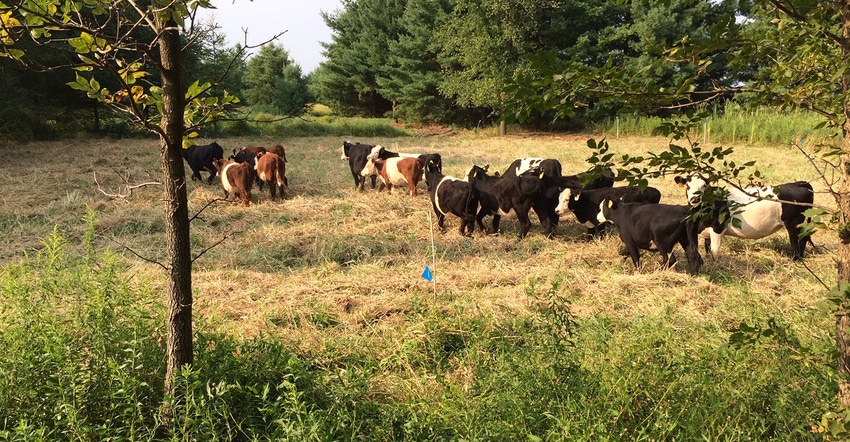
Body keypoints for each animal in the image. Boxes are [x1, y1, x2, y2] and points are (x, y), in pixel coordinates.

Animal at [672, 173, 812, 258]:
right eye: (687, 185)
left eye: (704, 185)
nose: (695, 199)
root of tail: (799, 183)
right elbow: (707, 248)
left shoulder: (718, 228)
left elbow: (714, 251)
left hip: (794, 224)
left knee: (796, 242)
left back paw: (796, 259)